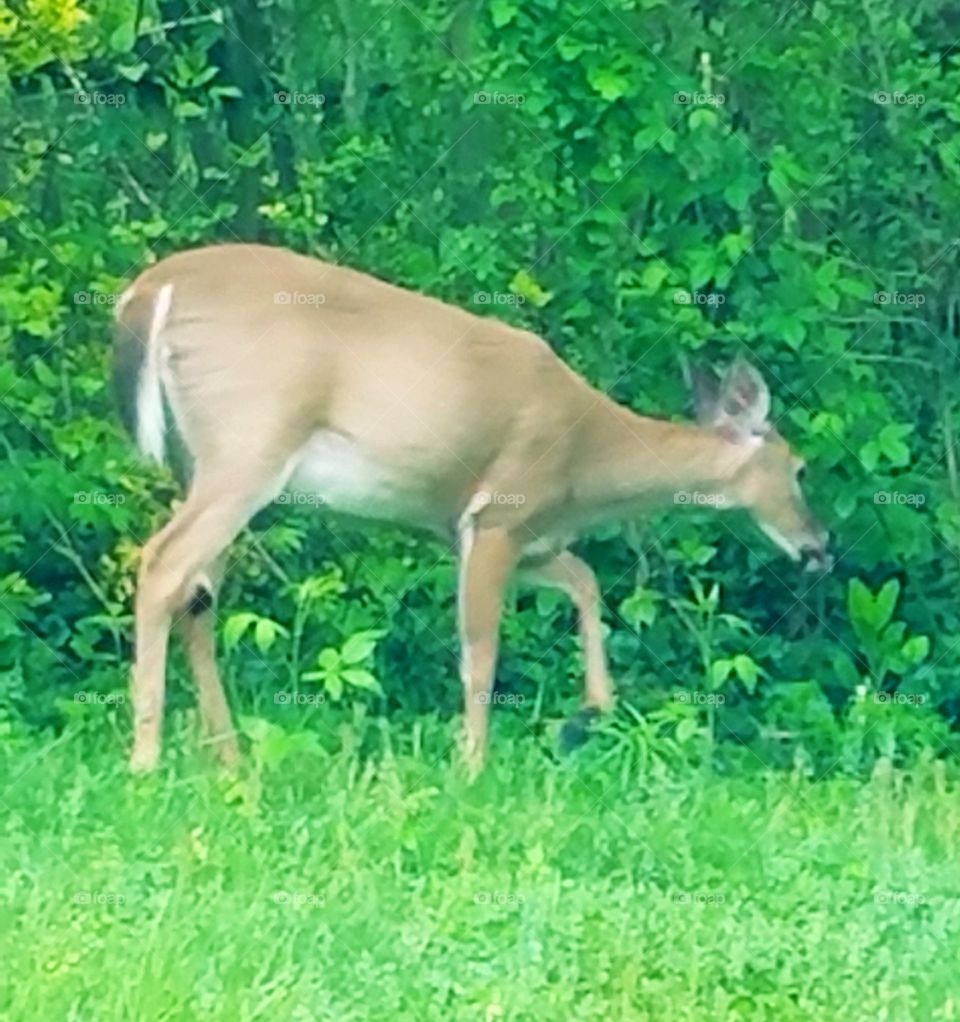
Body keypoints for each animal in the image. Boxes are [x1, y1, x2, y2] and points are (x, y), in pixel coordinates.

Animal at [113, 243, 831, 774]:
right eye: (799, 468)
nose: (821, 545)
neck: (586, 464)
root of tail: (151, 289)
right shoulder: (496, 514)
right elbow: (480, 650)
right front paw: (472, 766)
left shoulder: (500, 532)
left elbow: (585, 581)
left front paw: (583, 717)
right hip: (248, 444)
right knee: (164, 563)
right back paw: (146, 761)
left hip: (199, 461)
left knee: (198, 595)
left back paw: (228, 759)